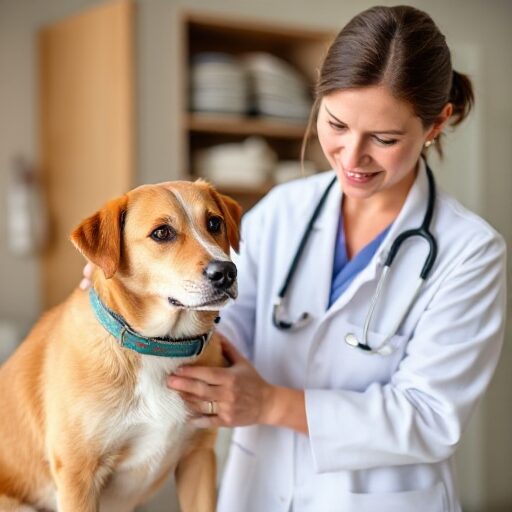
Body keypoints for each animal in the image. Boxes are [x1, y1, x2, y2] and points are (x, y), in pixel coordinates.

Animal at [0, 180, 242, 512]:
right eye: (162, 233)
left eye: (215, 223)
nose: (226, 272)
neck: (156, 346)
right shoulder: (78, 475)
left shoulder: (199, 457)